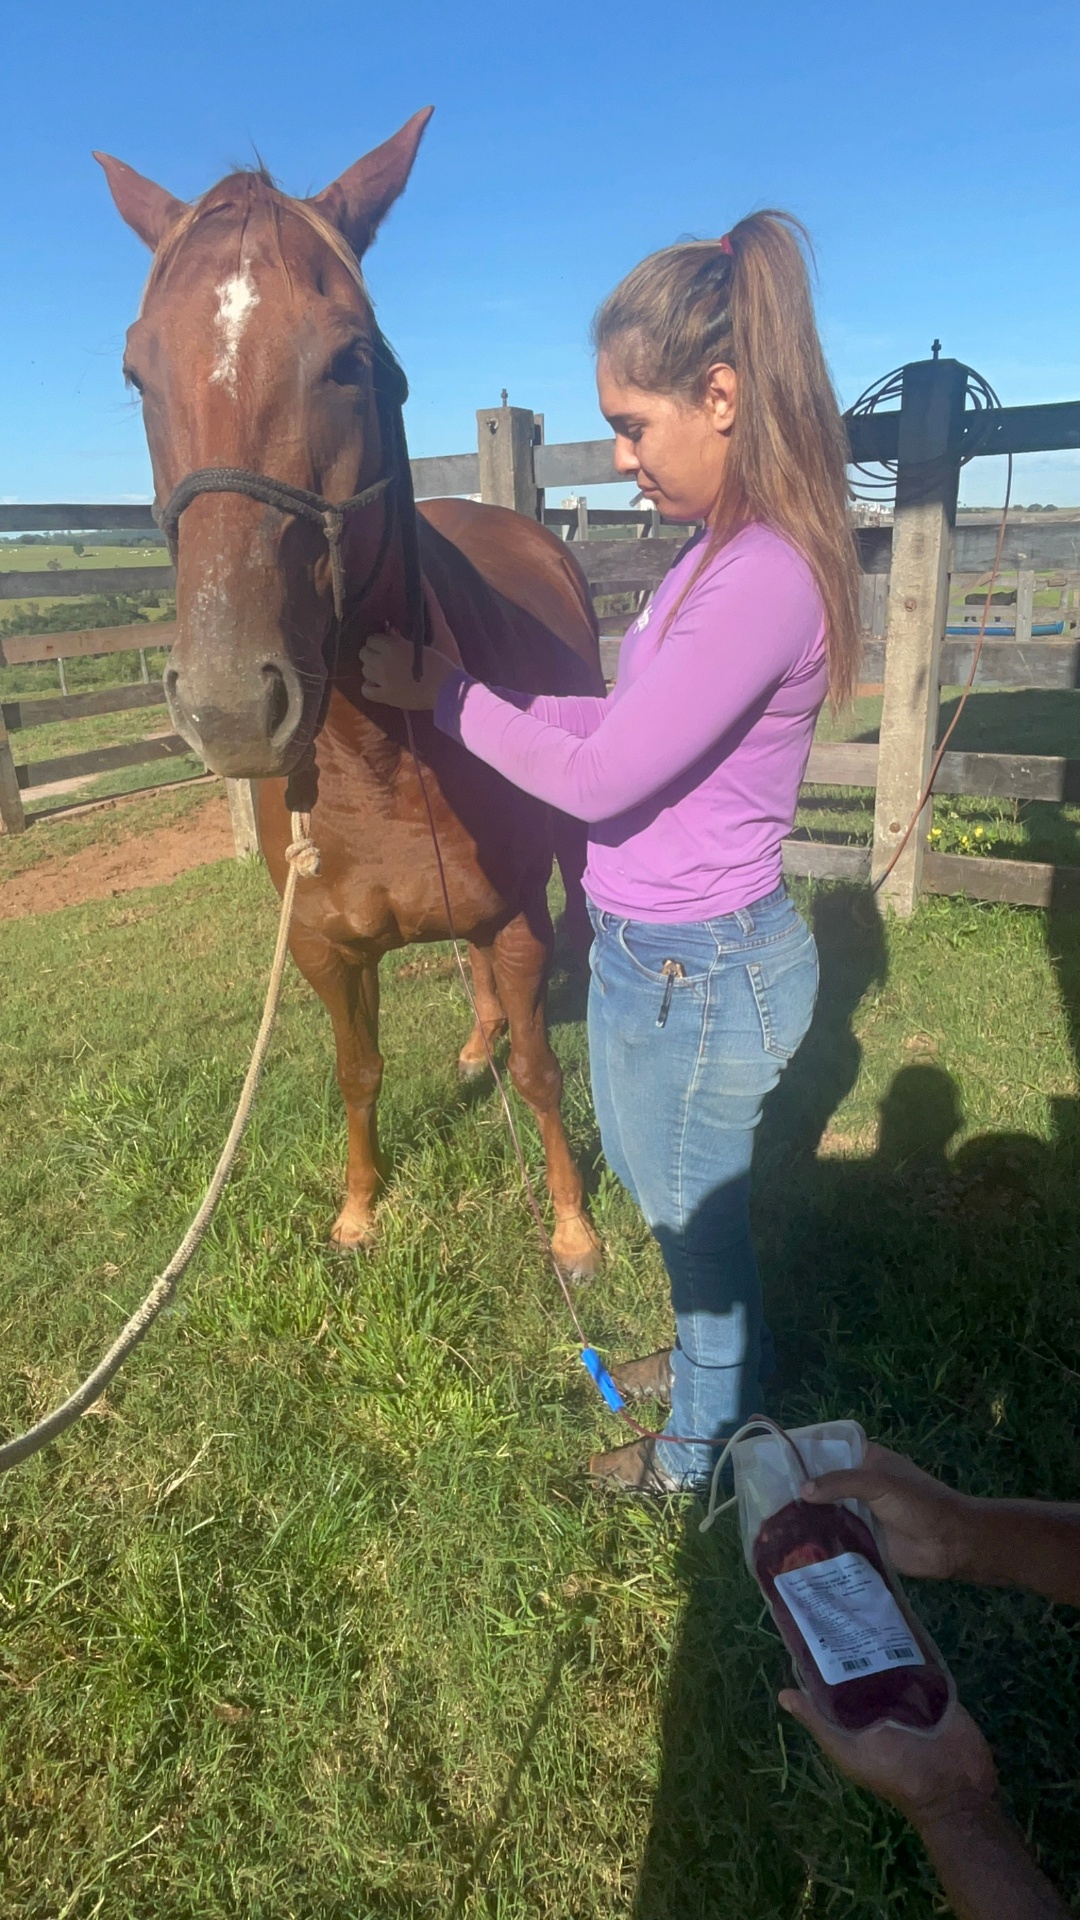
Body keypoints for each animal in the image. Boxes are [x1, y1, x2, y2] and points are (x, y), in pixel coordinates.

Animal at [96, 108, 603, 1276]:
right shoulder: (323, 949)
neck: (381, 761)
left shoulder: (519, 919)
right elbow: (357, 1073)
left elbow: (543, 1075)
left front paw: (572, 1227)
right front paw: (361, 1210)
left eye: (350, 361)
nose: (231, 704)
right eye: (139, 372)